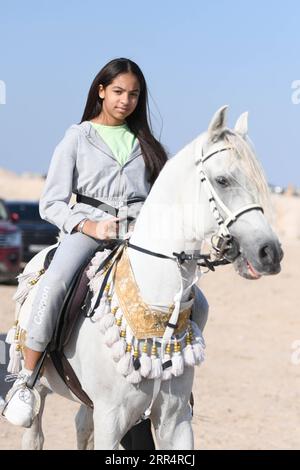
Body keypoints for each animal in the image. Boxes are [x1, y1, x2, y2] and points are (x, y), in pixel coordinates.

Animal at [8, 104, 282, 450]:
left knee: (81, 425)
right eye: (222, 180)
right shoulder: (111, 418)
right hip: (41, 388)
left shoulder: (175, 420)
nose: (270, 252)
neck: (155, 310)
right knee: (34, 432)